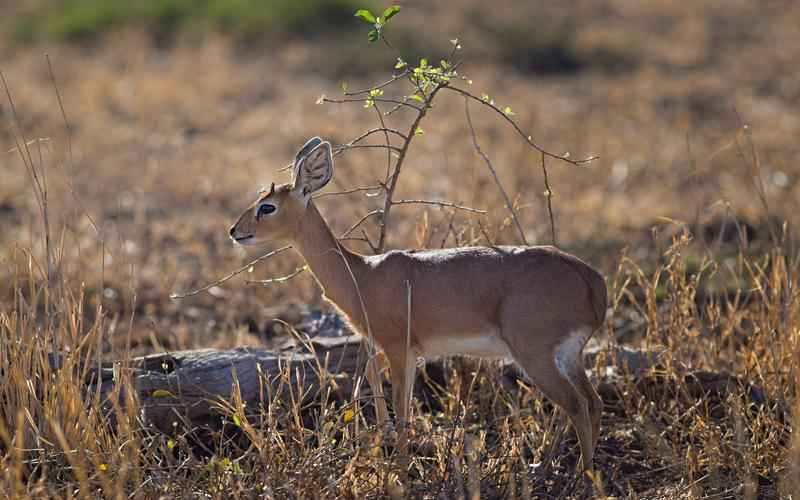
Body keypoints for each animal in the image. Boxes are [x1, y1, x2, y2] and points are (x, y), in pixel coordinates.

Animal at [230, 138, 608, 472]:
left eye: (267, 206)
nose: (235, 230)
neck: (362, 276)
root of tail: (591, 279)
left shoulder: (399, 348)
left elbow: (401, 409)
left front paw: (399, 468)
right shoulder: (404, 351)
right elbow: (380, 389)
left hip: (535, 355)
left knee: (575, 404)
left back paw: (580, 474)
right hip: (568, 355)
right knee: (592, 401)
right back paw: (557, 466)